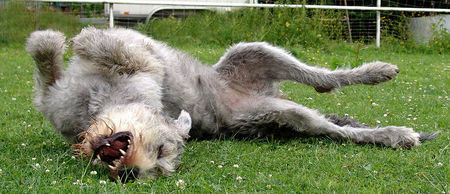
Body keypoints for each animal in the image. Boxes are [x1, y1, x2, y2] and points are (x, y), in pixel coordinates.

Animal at [26, 27, 438, 182]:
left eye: (162, 153)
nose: (131, 173)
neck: (100, 104)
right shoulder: (57, 100)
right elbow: (47, 65)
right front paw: (55, 43)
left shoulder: (145, 62)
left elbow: (120, 48)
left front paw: (82, 38)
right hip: (273, 104)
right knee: (327, 109)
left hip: (257, 54)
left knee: (325, 86)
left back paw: (385, 97)